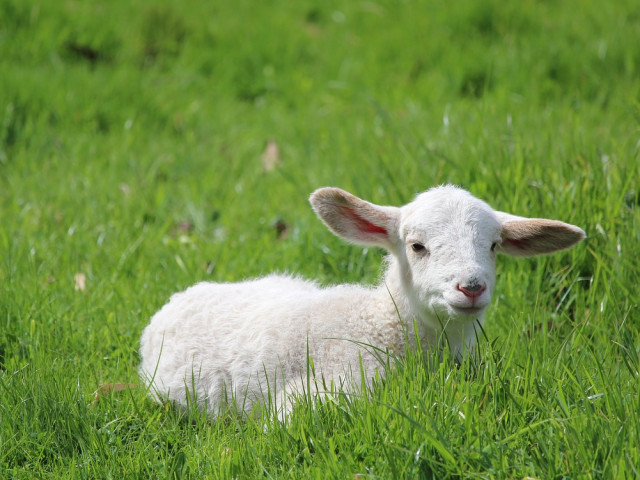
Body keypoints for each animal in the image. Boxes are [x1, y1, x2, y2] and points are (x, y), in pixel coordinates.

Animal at [140, 186, 584, 418]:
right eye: (416, 246)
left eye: (493, 246)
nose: (471, 287)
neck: (380, 327)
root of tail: (180, 296)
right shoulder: (319, 391)